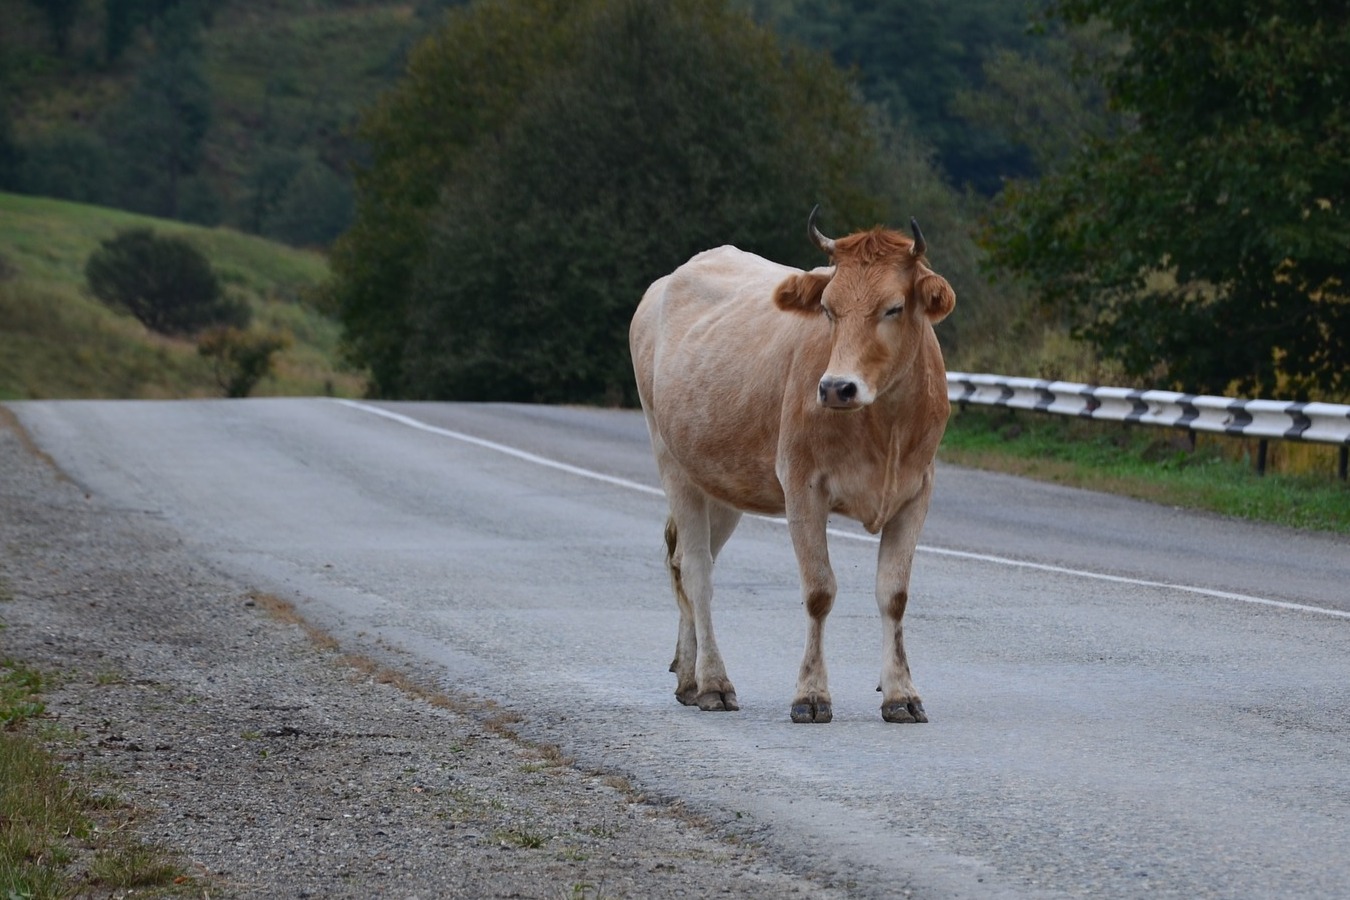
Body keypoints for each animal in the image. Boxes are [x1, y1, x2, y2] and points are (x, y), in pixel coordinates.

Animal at [629, 206, 955, 723]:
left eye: (893, 308)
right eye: (828, 308)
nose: (836, 387)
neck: (884, 426)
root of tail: (666, 282)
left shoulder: (916, 492)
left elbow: (894, 595)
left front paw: (901, 693)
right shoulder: (803, 486)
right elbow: (820, 591)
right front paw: (811, 695)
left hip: (722, 481)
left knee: (687, 562)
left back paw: (689, 677)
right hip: (672, 462)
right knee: (698, 571)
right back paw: (714, 683)